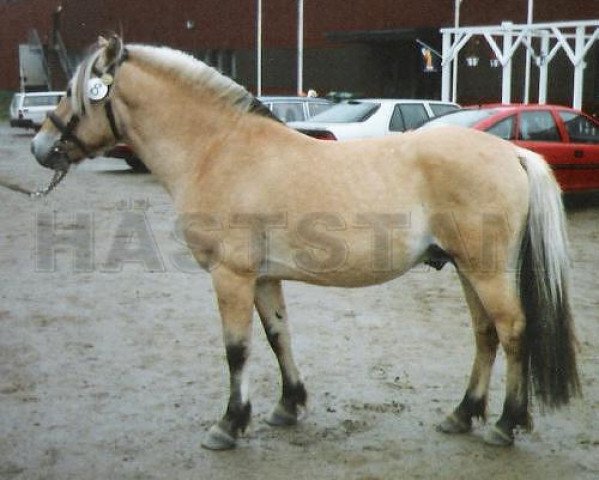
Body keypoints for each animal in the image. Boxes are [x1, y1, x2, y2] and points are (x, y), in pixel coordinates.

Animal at [29, 36, 580, 450]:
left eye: (77, 94)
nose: (39, 146)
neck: (218, 149)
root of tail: (511, 153)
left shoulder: (231, 275)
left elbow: (237, 350)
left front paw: (228, 425)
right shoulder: (263, 277)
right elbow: (278, 336)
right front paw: (287, 406)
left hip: (486, 270)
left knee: (512, 332)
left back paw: (505, 425)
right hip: (467, 269)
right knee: (485, 335)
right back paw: (463, 414)